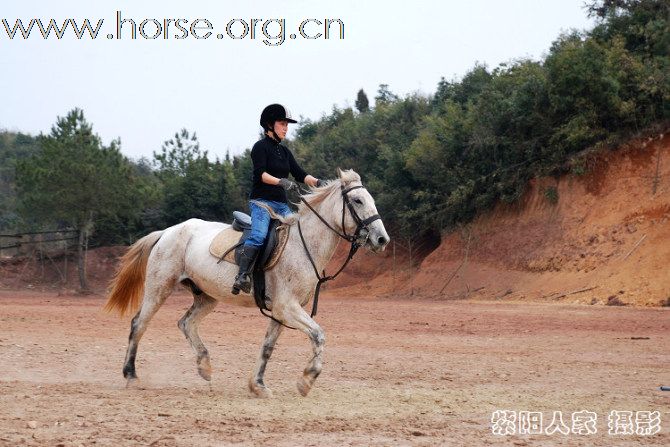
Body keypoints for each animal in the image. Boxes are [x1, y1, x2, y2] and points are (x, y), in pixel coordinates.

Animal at [102, 170, 392, 398]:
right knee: (139, 324)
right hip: (159, 288)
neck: (303, 244)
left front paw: (258, 385)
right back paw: (131, 376)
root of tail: (167, 232)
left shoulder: (280, 312)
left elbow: (267, 348)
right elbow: (319, 335)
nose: (381, 239)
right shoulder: (287, 307)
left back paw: (204, 366)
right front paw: (306, 380)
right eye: (357, 200)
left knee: (186, 323)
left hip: (206, 297)